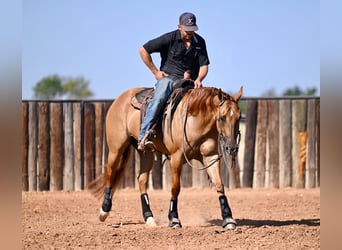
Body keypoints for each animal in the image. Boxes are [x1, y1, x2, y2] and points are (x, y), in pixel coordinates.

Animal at [88, 84, 243, 230]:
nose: (232, 148)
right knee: (110, 172)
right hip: (116, 148)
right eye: (222, 117)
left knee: (141, 180)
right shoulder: (176, 157)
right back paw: (104, 211)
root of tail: (119, 99)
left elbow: (219, 185)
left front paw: (228, 219)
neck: (195, 121)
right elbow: (175, 188)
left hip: (146, 153)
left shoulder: (211, 157)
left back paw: (149, 218)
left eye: (238, 117)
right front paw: (174, 219)